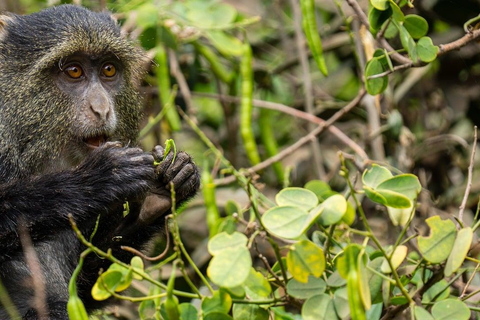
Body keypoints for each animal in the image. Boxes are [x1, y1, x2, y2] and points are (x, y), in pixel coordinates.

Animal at [0, 5, 201, 320]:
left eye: (109, 70)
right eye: (73, 71)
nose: (102, 108)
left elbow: (89, 290)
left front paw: (166, 188)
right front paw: (101, 178)